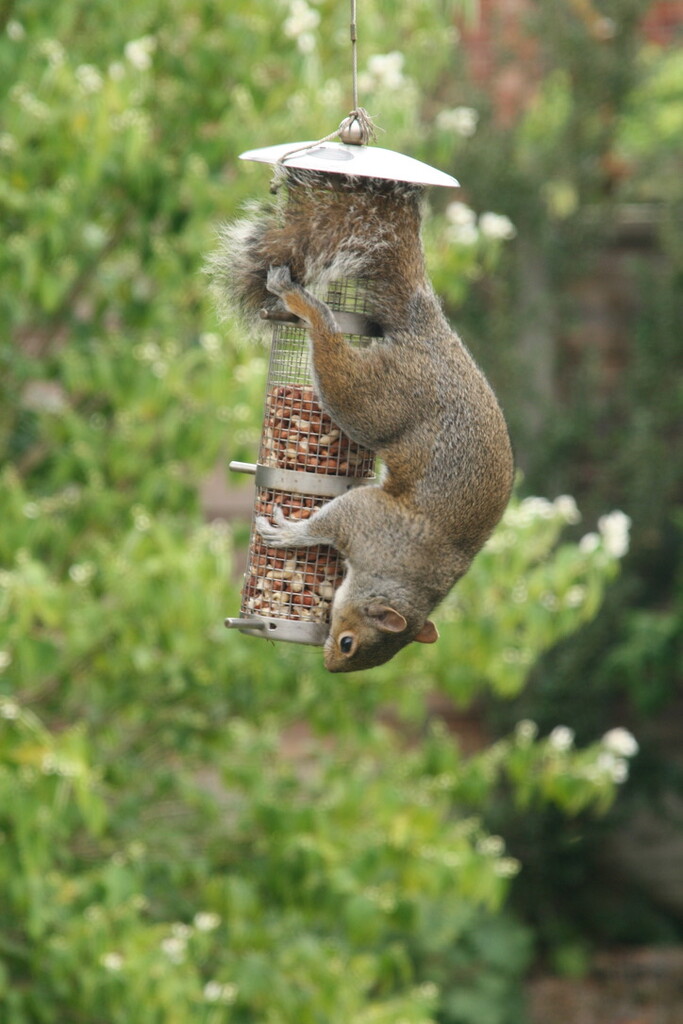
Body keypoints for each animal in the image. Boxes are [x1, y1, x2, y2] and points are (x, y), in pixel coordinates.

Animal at [208, 169, 511, 671]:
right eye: (350, 644)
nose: (331, 666)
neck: (401, 575)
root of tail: (429, 332)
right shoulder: (368, 519)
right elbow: (326, 522)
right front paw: (291, 534)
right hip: (371, 401)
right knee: (329, 336)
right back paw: (301, 302)